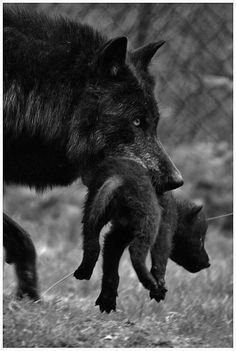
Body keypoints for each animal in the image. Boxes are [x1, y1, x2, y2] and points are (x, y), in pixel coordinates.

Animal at [74, 160, 209, 314]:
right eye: (200, 239)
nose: (208, 263)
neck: (176, 210)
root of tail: (120, 179)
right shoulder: (164, 229)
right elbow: (160, 257)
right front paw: (158, 288)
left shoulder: (119, 234)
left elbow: (110, 263)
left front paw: (107, 300)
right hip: (148, 220)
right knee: (136, 252)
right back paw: (150, 283)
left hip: (94, 208)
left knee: (91, 240)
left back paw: (83, 270)